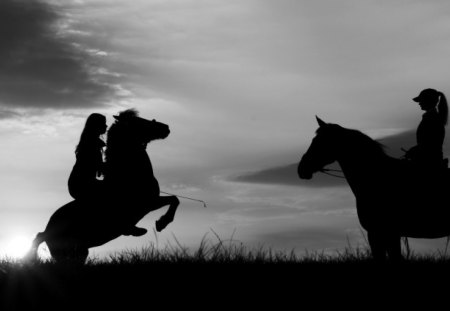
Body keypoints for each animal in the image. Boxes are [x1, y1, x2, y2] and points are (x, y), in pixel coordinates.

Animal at [26, 109, 179, 264]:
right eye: (138, 121)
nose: (166, 127)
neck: (129, 174)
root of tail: (47, 231)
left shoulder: (151, 202)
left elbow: (174, 199)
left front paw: (161, 223)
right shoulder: (148, 203)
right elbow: (175, 200)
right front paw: (162, 223)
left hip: (80, 252)